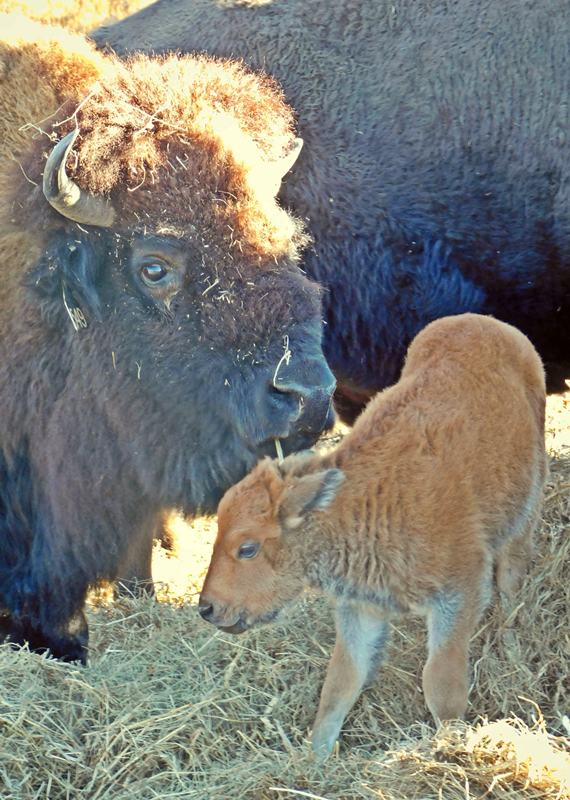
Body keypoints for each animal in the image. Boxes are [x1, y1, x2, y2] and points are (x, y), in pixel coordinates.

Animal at [198, 313, 548, 757]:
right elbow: (340, 684)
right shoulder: (360, 607)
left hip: (525, 508)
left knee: (513, 577)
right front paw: (316, 757)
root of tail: (486, 323)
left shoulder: (458, 595)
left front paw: (450, 747)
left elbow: (441, 683)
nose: (207, 608)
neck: (355, 505)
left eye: (247, 548)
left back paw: (513, 641)